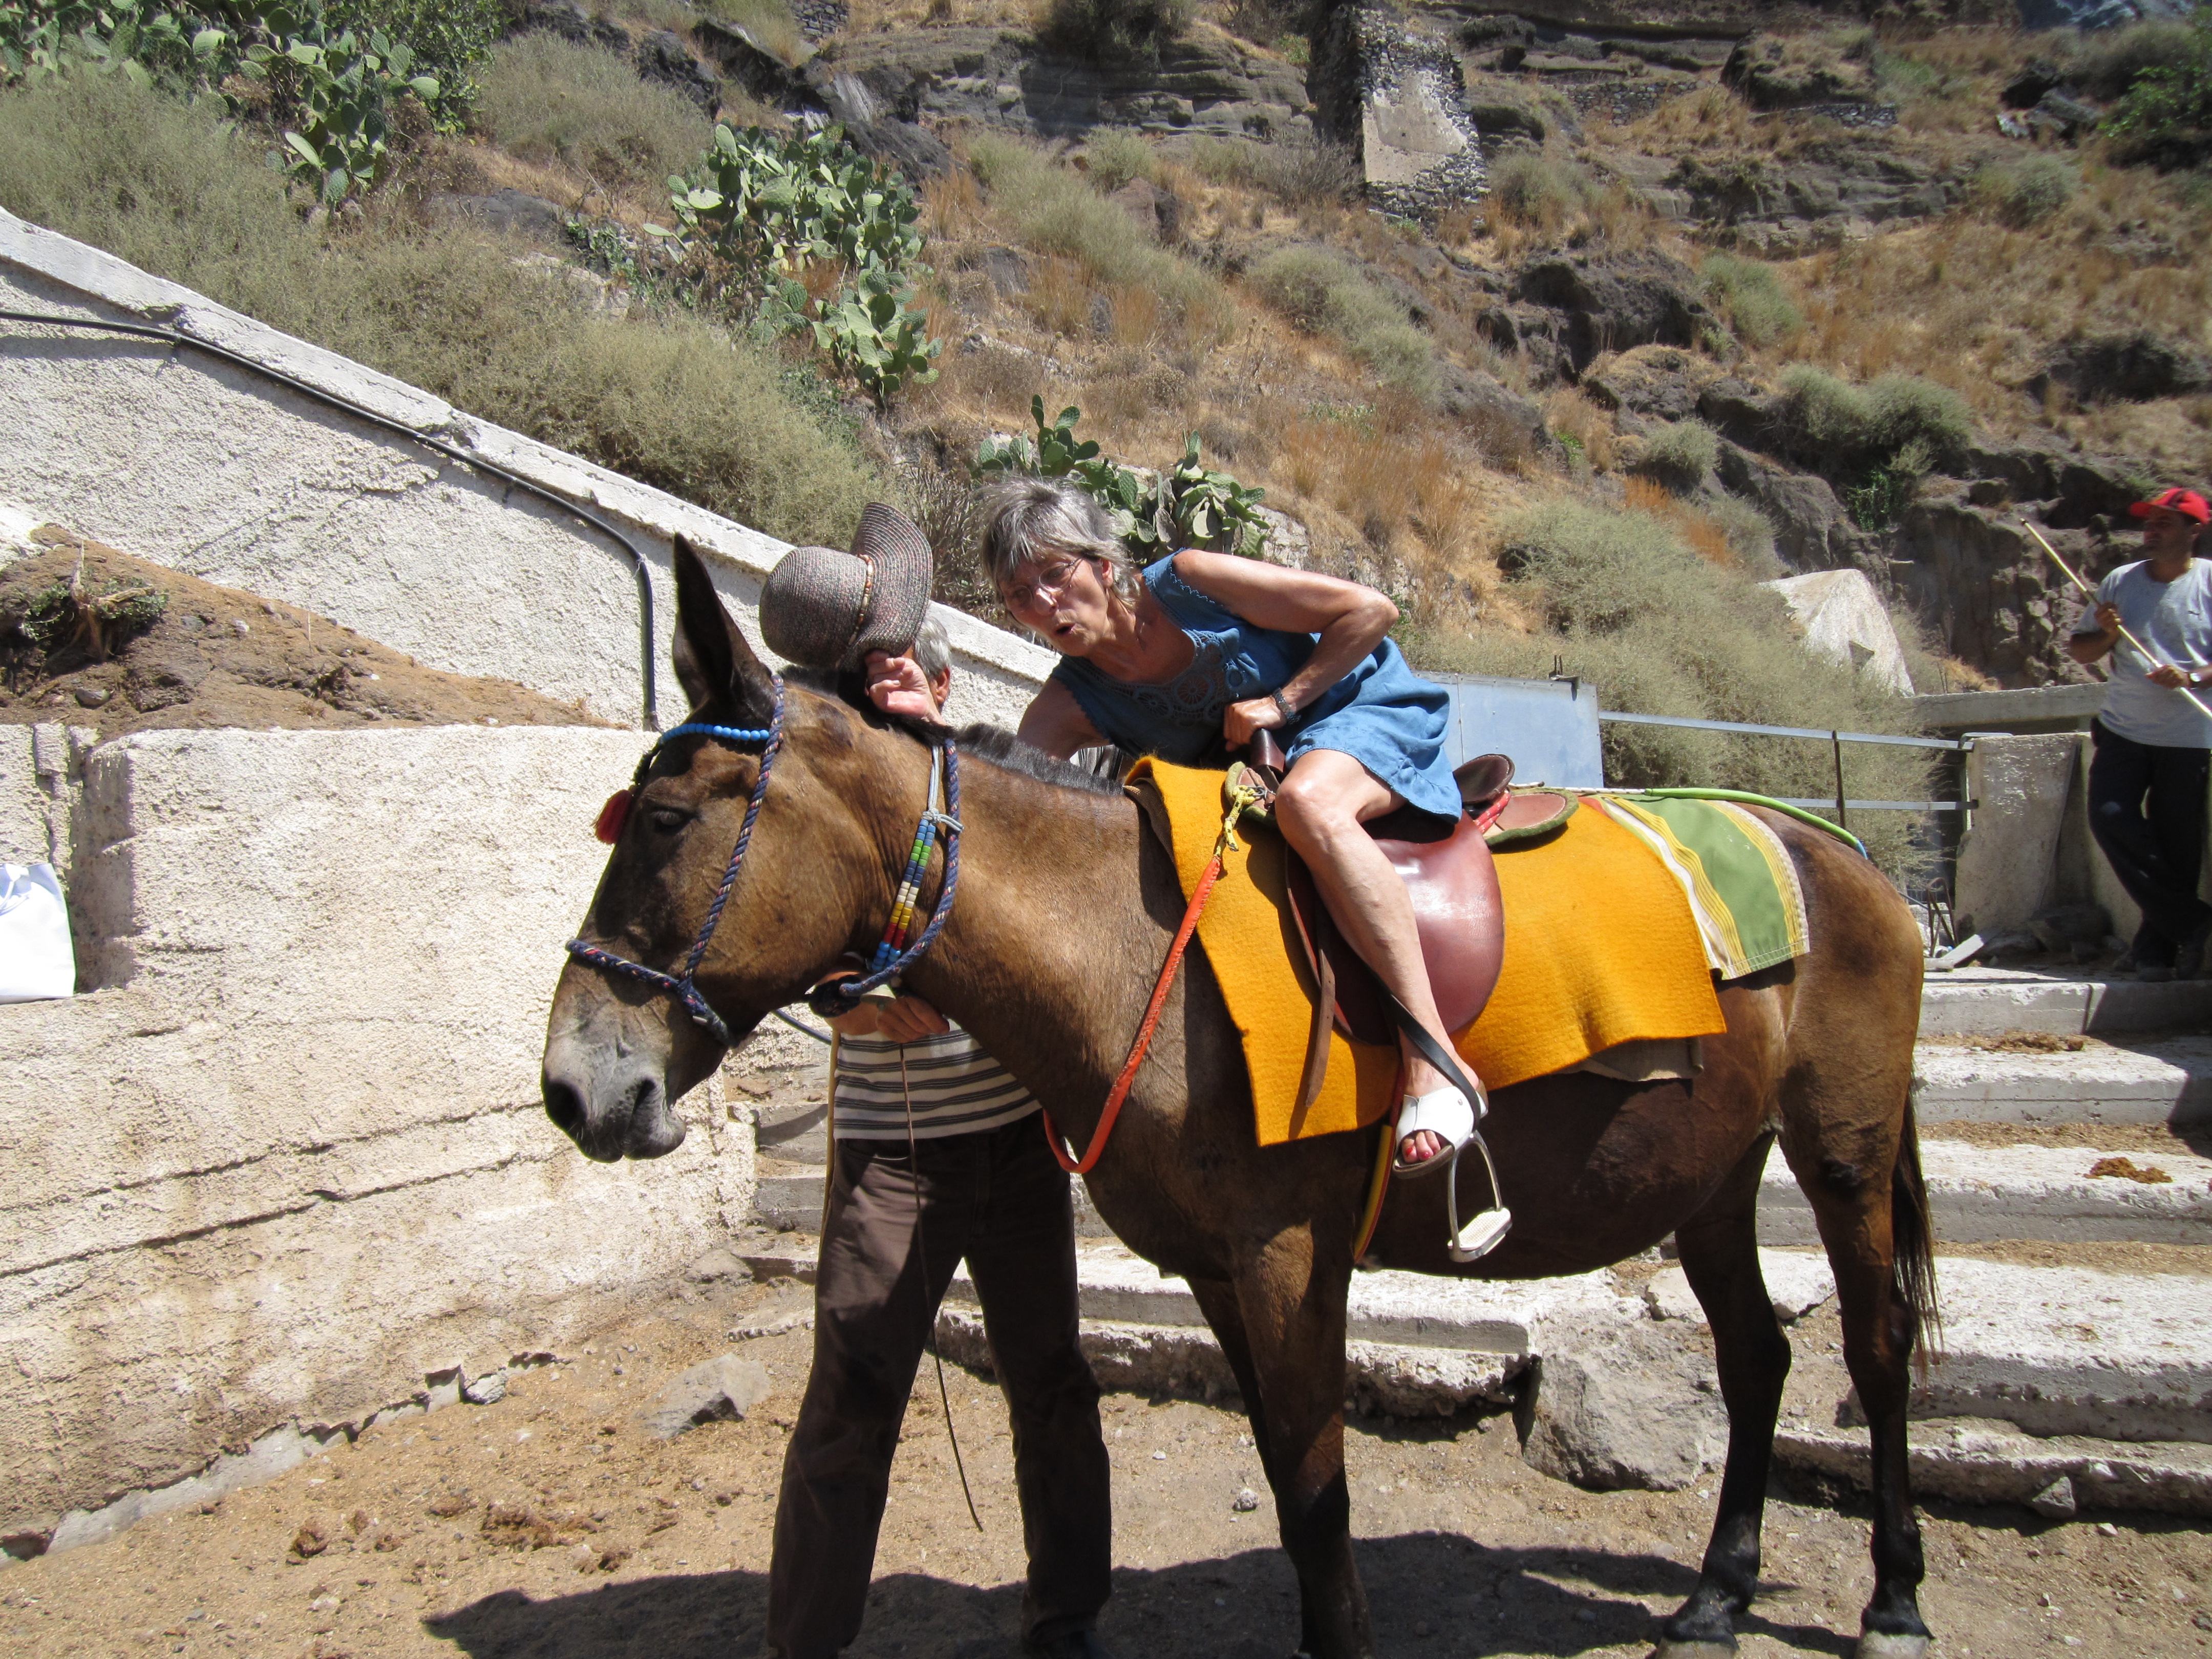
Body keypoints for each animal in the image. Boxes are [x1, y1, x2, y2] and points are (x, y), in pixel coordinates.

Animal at [541, 541, 1939, 1659]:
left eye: (662, 818)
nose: (573, 1085)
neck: (1130, 946)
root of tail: (1834, 848)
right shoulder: (1218, 1268)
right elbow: (1282, 1466)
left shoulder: (1288, 1254)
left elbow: (1319, 1489)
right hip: (1713, 1170)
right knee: (1758, 1357)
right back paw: (1715, 1596)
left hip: (1843, 1149)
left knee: (1876, 1351)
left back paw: (1895, 1602)